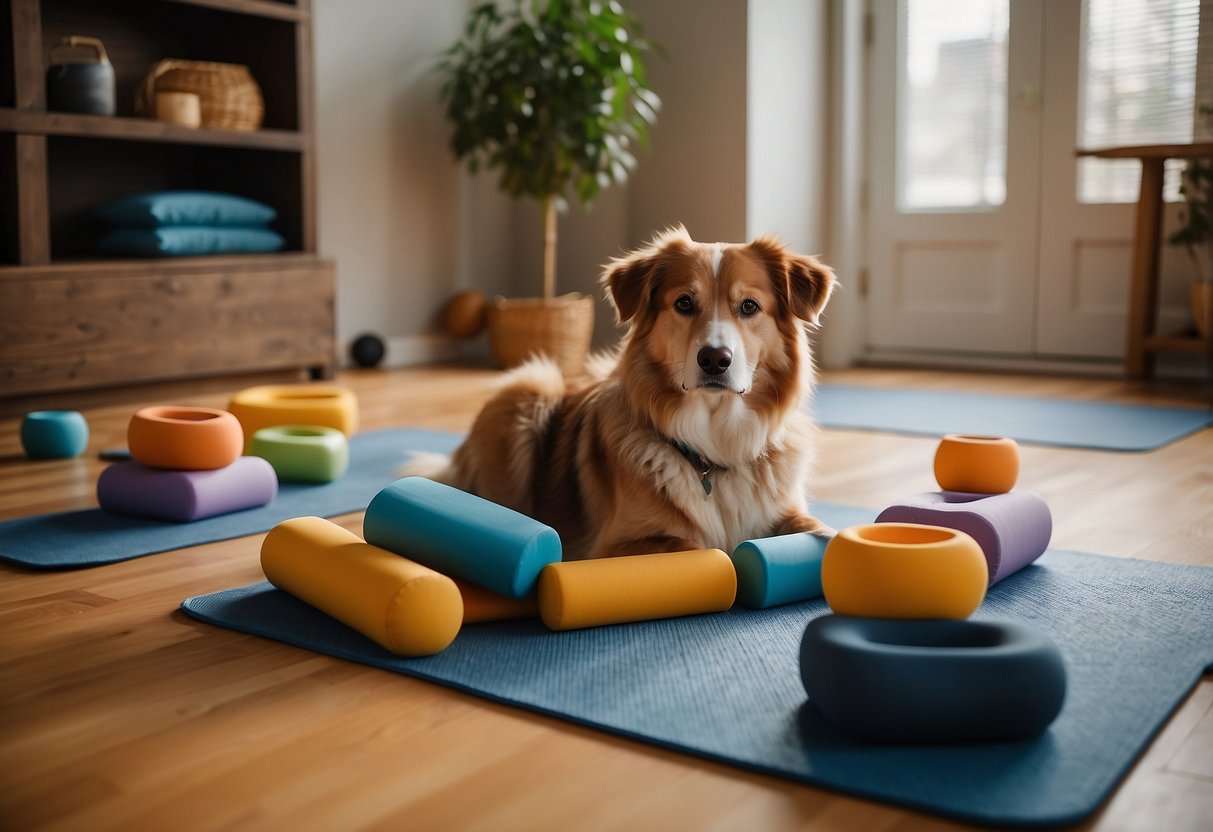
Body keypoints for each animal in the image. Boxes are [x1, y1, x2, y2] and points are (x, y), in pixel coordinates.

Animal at [407, 226, 834, 560]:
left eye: (749, 306)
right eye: (684, 303)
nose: (715, 360)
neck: (713, 447)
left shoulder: (787, 511)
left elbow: (821, 530)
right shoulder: (613, 546)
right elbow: (698, 547)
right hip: (529, 386)